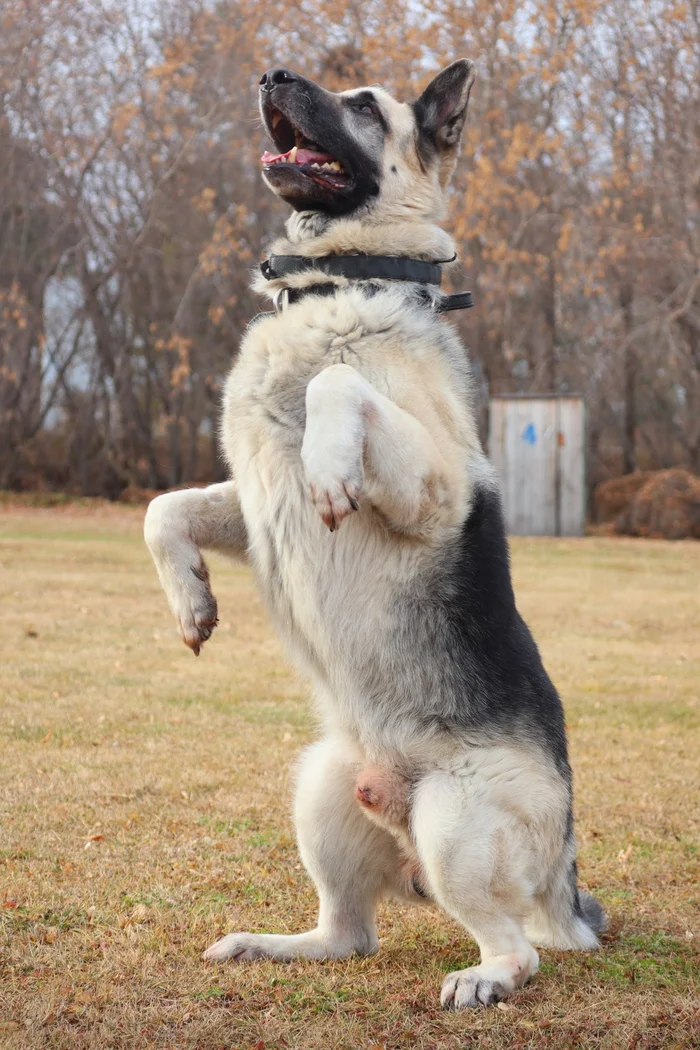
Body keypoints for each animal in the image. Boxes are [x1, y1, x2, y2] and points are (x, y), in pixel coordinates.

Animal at [144, 59, 604, 1007]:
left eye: (362, 106)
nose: (272, 73)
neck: (339, 281)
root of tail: (564, 879)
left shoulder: (437, 486)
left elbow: (339, 385)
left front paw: (328, 465)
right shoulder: (252, 503)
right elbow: (164, 507)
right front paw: (190, 603)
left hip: (454, 821)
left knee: (520, 949)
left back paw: (484, 978)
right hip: (321, 786)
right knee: (348, 935)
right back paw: (274, 945)